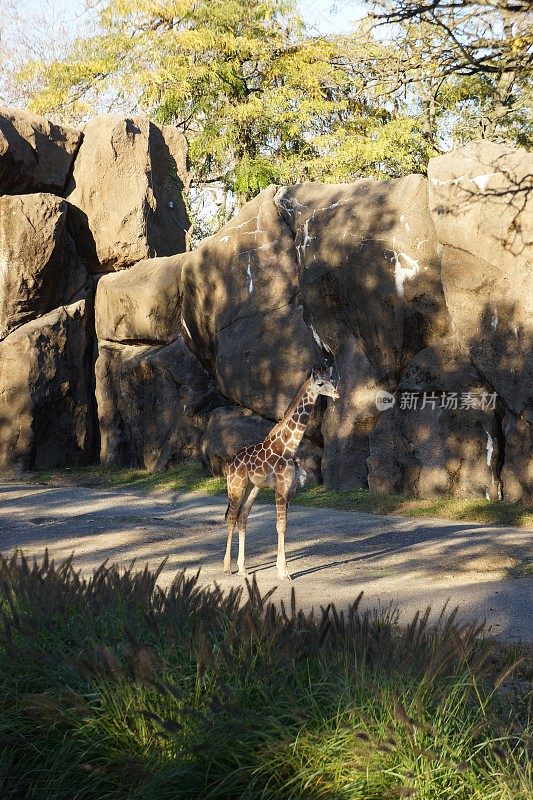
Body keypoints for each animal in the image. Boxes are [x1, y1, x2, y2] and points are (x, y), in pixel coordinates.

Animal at [222, 366, 338, 580]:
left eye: (332, 380)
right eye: (320, 383)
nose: (337, 394)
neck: (290, 447)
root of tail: (231, 462)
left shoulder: (290, 490)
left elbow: (284, 526)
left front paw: (281, 570)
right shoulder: (281, 489)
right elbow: (280, 526)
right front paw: (284, 572)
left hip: (253, 487)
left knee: (243, 517)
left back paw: (242, 568)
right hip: (236, 486)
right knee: (231, 518)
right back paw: (227, 567)